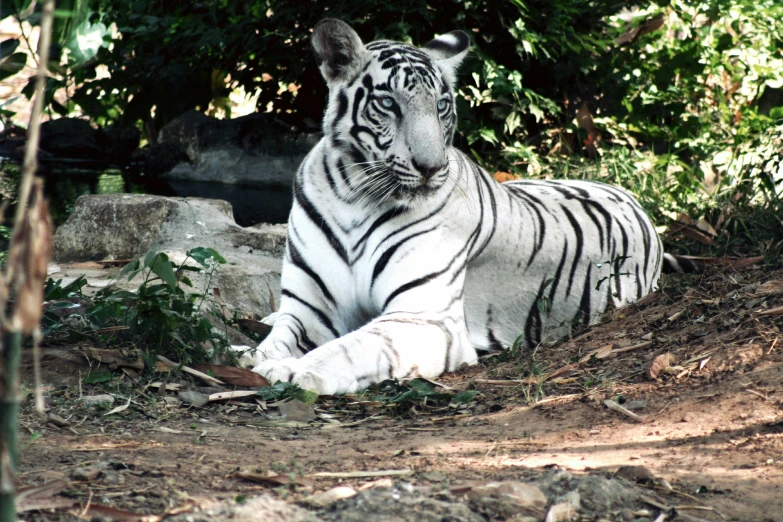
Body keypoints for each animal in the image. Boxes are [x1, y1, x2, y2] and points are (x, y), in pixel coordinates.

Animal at [236, 20, 664, 394]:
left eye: (441, 105)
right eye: (388, 103)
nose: (431, 168)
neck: (354, 194)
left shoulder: (424, 316)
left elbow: (351, 347)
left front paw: (294, 371)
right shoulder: (308, 310)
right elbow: (280, 338)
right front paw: (259, 356)